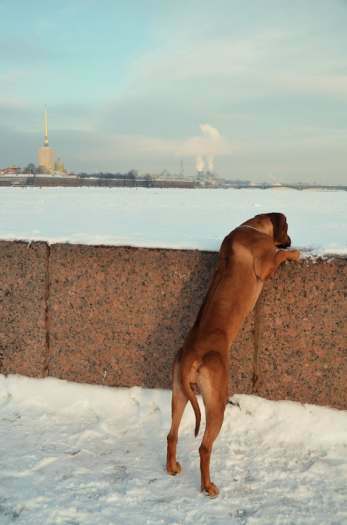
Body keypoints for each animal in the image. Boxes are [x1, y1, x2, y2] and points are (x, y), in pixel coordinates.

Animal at [166, 212, 300, 496]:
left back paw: (172, 467)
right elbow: (278, 257)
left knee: (171, 433)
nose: (291, 241)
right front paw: (294, 253)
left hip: (180, 391)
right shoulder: (265, 264)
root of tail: (192, 354)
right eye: (287, 229)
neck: (250, 228)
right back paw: (208, 486)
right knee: (204, 447)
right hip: (216, 401)